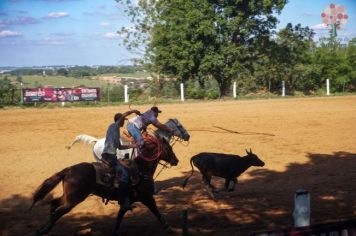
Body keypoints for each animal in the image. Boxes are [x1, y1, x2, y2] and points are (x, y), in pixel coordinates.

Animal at [30, 136, 179, 236]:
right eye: (169, 148)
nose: (176, 161)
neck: (141, 169)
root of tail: (69, 170)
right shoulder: (147, 197)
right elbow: (156, 211)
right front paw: (168, 227)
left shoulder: (127, 202)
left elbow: (119, 218)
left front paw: (115, 231)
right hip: (74, 199)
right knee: (57, 212)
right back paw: (43, 229)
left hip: (68, 197)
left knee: (54, 204)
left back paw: (44, 228)